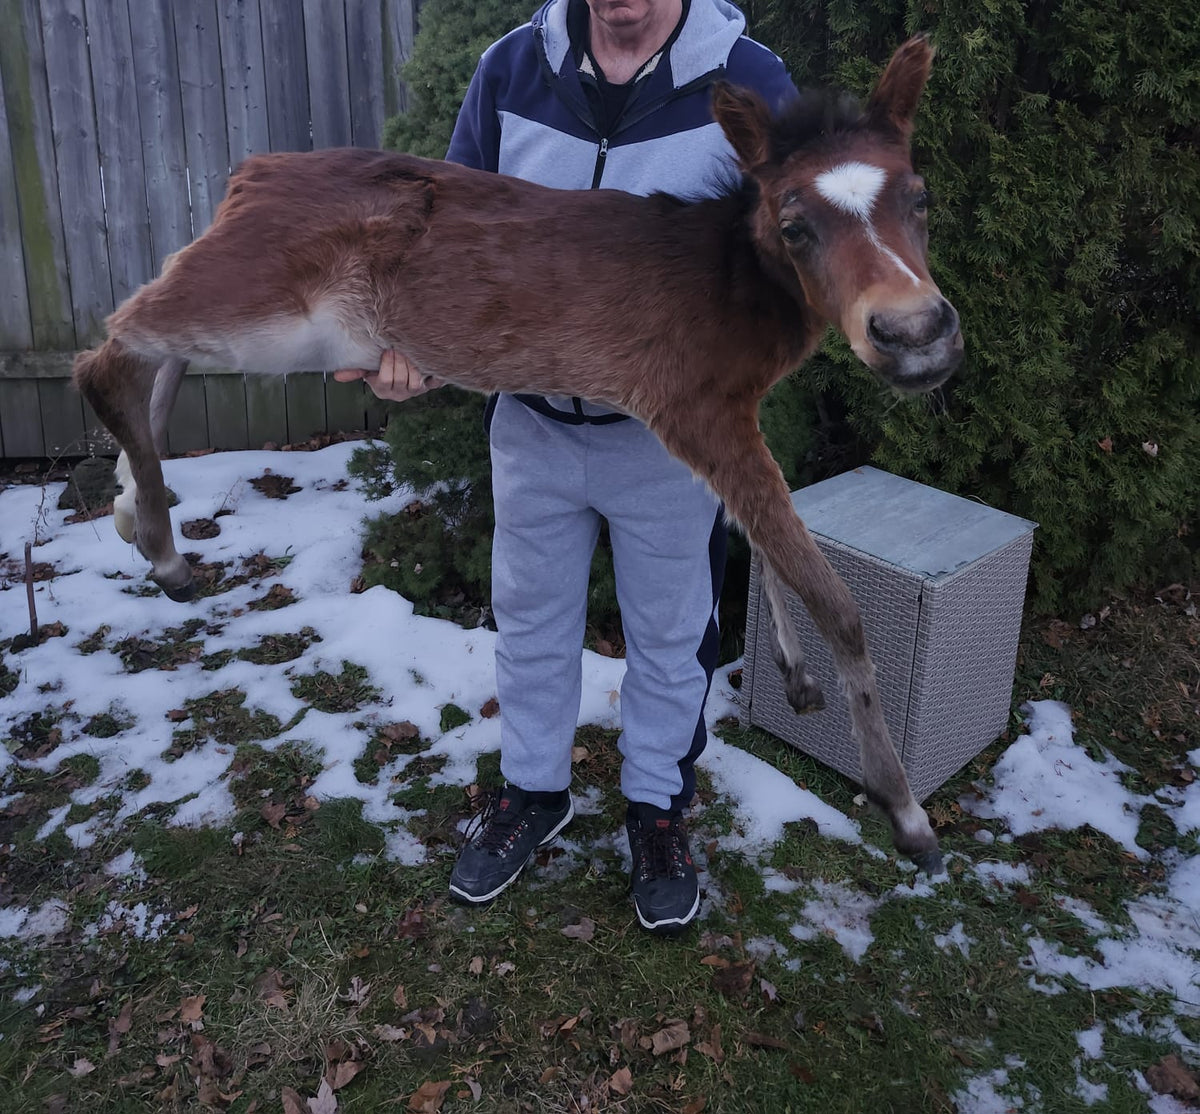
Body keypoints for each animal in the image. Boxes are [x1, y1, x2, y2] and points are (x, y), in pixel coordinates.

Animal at [73, 36, 961, 872]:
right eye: (794, 224)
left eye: (920, 198)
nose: (915, 333)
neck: (732, 282)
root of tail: (249, 175)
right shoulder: (694, 407)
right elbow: (833, 597)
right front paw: (905, 811)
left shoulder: (717, 423)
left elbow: (762, 540)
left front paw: (797, 679)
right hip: (264, 303)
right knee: (110, 349)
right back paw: (163, 550)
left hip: (272, 323)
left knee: (156, 348)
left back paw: (131, 509)